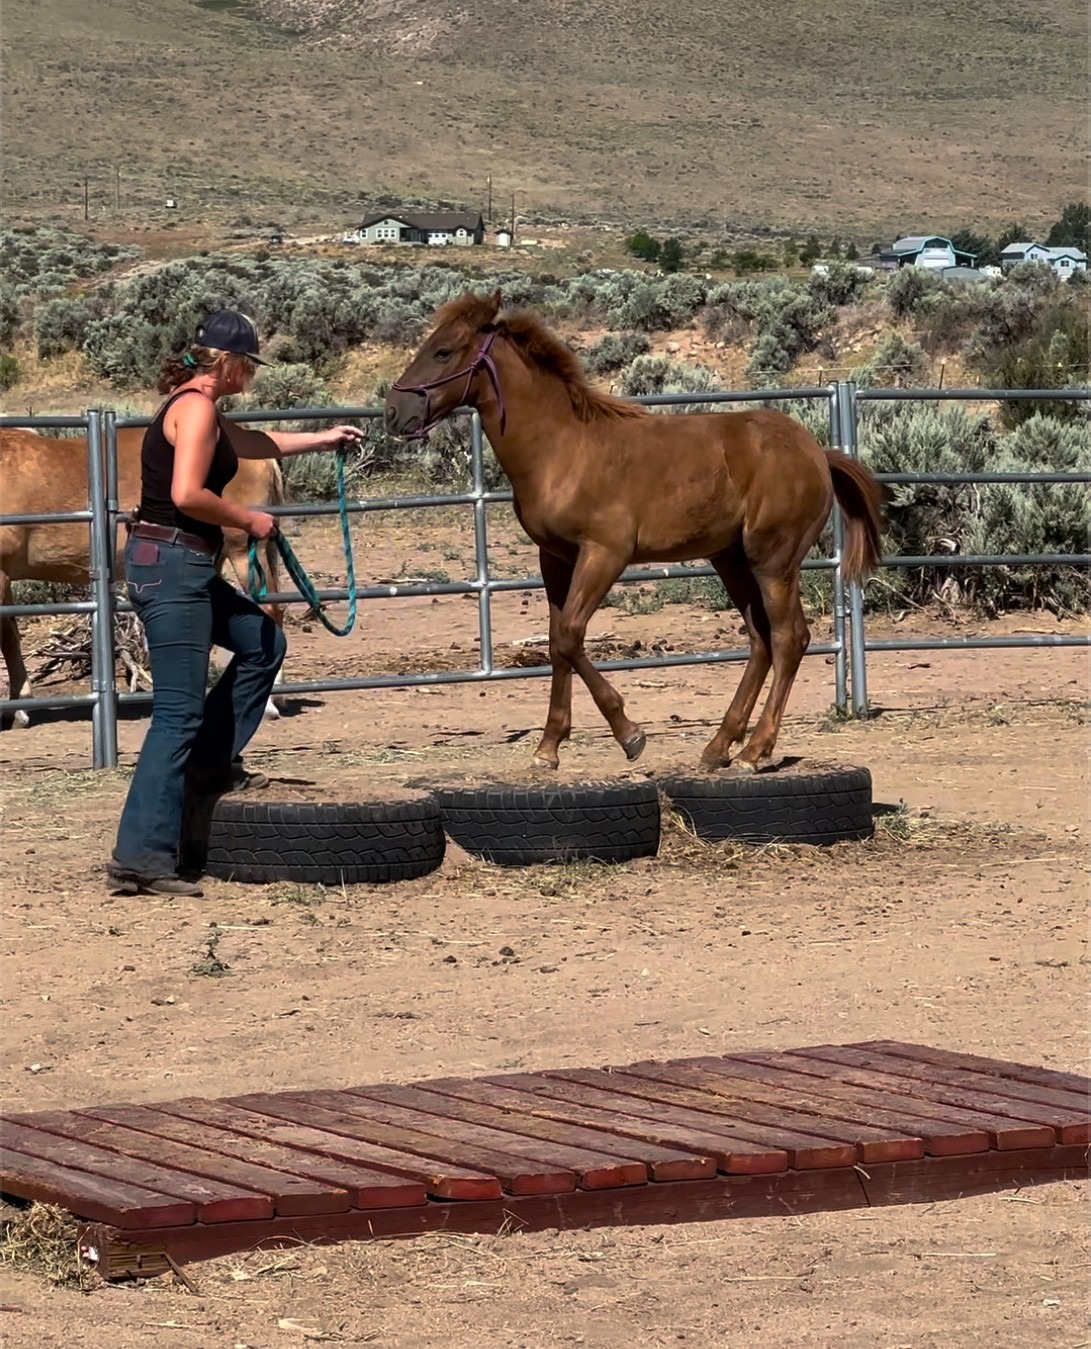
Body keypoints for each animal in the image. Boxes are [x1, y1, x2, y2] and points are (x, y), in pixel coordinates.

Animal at [385, 290, 885, 773]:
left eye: (443, 350)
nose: (394, 412)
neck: (562, 449)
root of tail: (818, 452)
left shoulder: (605, 553)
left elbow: (570, 635)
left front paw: (630, 736)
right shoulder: (555, 559)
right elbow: (556, 642)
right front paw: (548, 749)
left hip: (772, 559)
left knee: (789, 639)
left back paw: (753, 752)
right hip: (731, 559)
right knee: (760, 639)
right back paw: (718, 747)